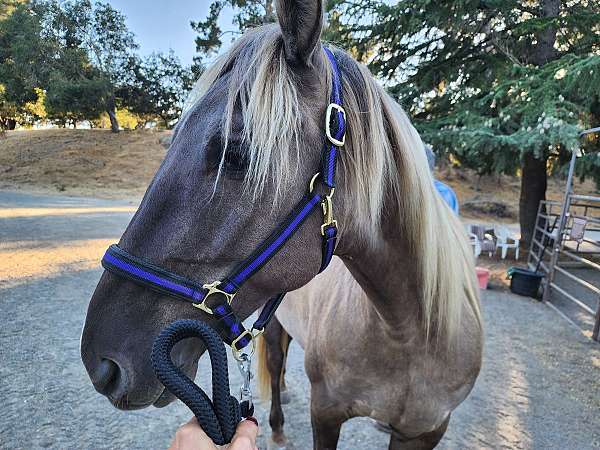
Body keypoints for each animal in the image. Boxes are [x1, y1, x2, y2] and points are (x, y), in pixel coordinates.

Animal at [79, 0, 482, 450]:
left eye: (237, 156)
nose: (102, 363)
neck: (410, 333)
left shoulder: (425, 430)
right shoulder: (326, 411)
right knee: (275, 359)